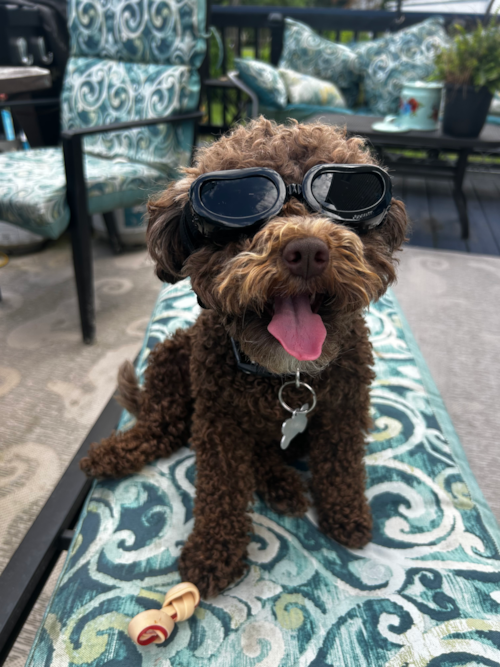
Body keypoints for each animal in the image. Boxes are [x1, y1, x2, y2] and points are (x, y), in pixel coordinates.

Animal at [82, 118, 408, 600]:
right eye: (241, 205)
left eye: (342, 199)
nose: (307, 250)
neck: (283, 375)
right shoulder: (219, 425)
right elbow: (221, 490)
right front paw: (212, 552)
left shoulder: (344, 410)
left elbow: (343, 465)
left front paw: (346, 515)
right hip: (171, 357)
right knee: (161, 428)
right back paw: (112, 454)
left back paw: (281, 483)